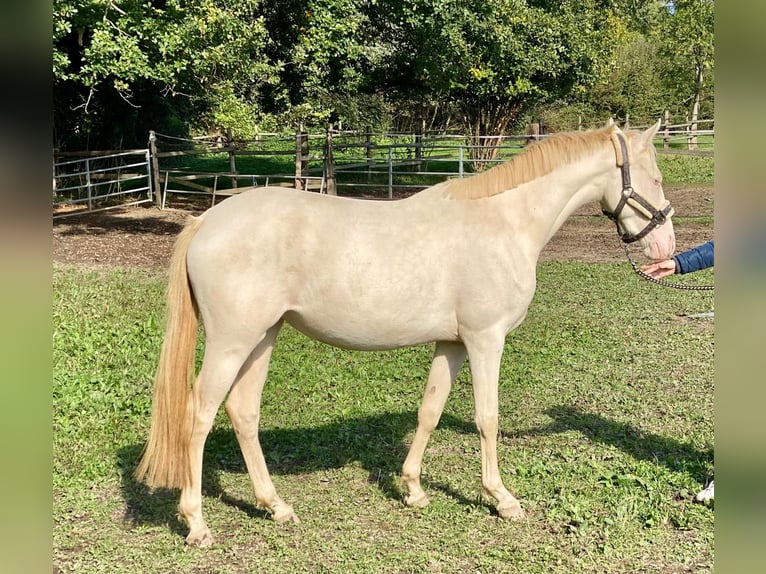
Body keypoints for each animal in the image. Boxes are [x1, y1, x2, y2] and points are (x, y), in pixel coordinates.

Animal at [135, 122, 676, 548]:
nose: (665, 247)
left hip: (262, 338)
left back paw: (276, 506)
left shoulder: (453, 343)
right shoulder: (486, 339)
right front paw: (501, 499)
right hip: (232, 342)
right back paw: (197, 524)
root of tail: (207, 220)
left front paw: (413, 489)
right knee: (199, 415)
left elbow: (430, 410)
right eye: (654, 177)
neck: (504, 222)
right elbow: (487, 418)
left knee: (243, 412)